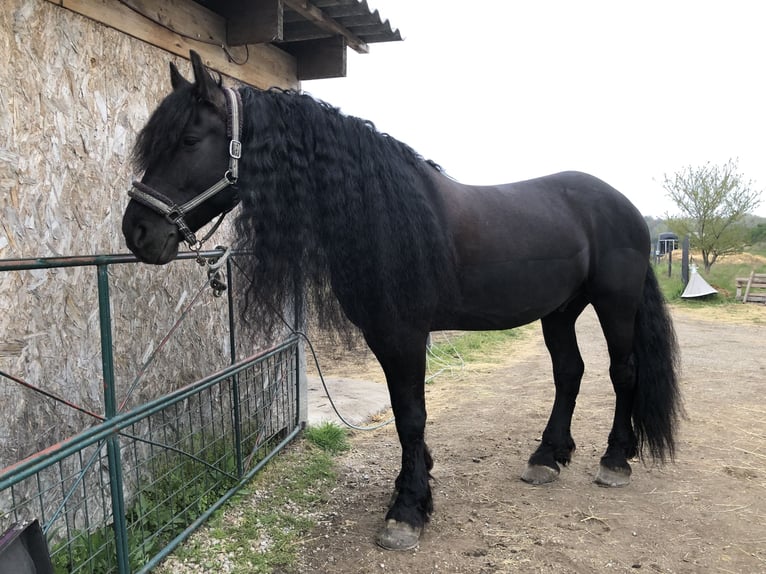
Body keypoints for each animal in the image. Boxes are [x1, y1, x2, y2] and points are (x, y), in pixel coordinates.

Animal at [121, 51, 681, 551]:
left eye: (190, 140)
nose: (138, 232)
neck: (380, 211)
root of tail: (626, 206)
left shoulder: (404, 334)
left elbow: (412, 415)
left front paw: (407, 510)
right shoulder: (383, 334)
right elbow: (401, 412)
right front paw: (417, 483)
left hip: (614, 303)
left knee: (623, 372)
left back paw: (615, 460)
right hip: (560, 311)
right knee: (570, 372)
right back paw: (547, 456)